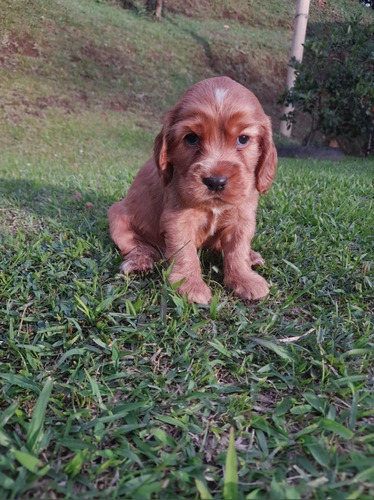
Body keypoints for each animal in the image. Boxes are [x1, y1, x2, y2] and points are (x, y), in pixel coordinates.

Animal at [108, 76, 278, 302]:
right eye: (191, 138)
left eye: (243, 139)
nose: (216, 181)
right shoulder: (177, 219)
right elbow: (185, 252)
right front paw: (190, 285)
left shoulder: (243, 217)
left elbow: (238, 249)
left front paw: (244, 279)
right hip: (117, 215)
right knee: (136, 245)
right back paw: (139, 262)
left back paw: (252, 256)